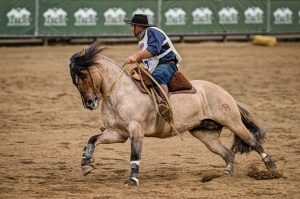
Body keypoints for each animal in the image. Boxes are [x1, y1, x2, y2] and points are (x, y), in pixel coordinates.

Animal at [69, 40, 278, 187]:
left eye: (84, 75)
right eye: (75, 81)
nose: (89, 103)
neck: (121, 92)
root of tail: (227, 95)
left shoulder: (136, 131)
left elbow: (135, 155)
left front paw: (133, 181)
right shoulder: (118, 133)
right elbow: (93, 139)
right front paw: (86, 164)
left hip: (233, 122)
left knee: (253, 141)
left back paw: (272, 169)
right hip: (206, 134)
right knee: (228, 154)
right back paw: (225, 176)